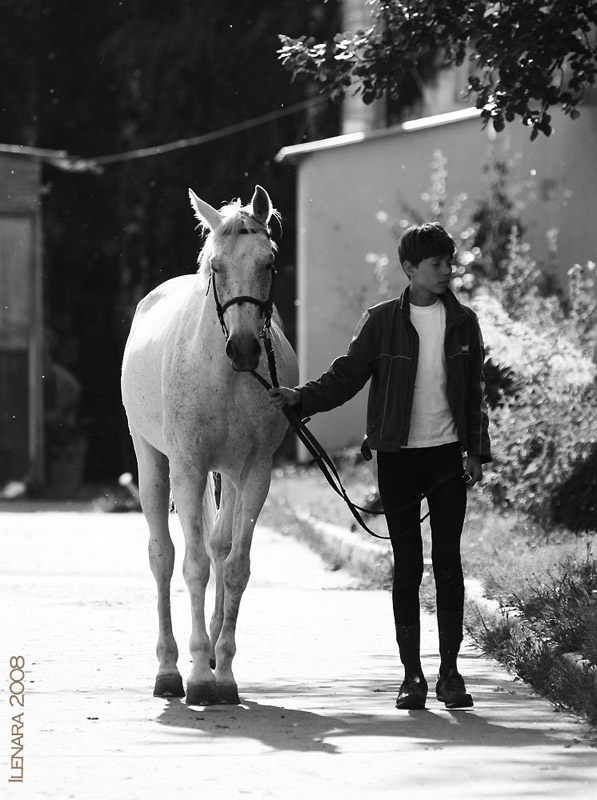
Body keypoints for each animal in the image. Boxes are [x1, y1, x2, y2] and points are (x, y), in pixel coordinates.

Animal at [121, 185, 298, 705]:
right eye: (216, 266)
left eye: (268, 261)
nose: (243, 349)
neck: (225, 377)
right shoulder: (188, 467)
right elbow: (194, 565)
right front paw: (198, 676)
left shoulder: (255, 473)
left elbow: (233, 565)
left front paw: (224, 674)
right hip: (153, 462)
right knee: (163, 556)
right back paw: (167, 670)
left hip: (231, 477)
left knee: (220, 547)